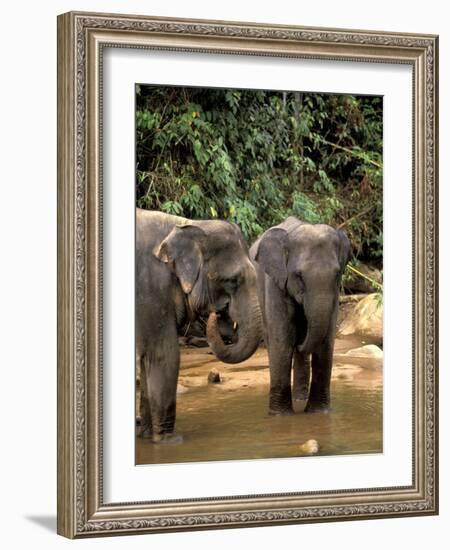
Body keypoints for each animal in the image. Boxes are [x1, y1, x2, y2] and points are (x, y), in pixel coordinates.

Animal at [135, 209, 262, 446]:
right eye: (232, 280)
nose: (215, 315)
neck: (189, 224)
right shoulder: (152, 288)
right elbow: (163, 355)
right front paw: (171, 441)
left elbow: (146, 358)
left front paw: (147, 437)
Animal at [250, 218, 352, 416]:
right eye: (299, 276)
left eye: (337, 273)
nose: (299, 342)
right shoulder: (276, 284)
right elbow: (282, 341)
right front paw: (280, 416)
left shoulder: (335, 293)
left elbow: (326, 343)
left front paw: (320, 413)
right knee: (271, 339)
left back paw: (300, 399)